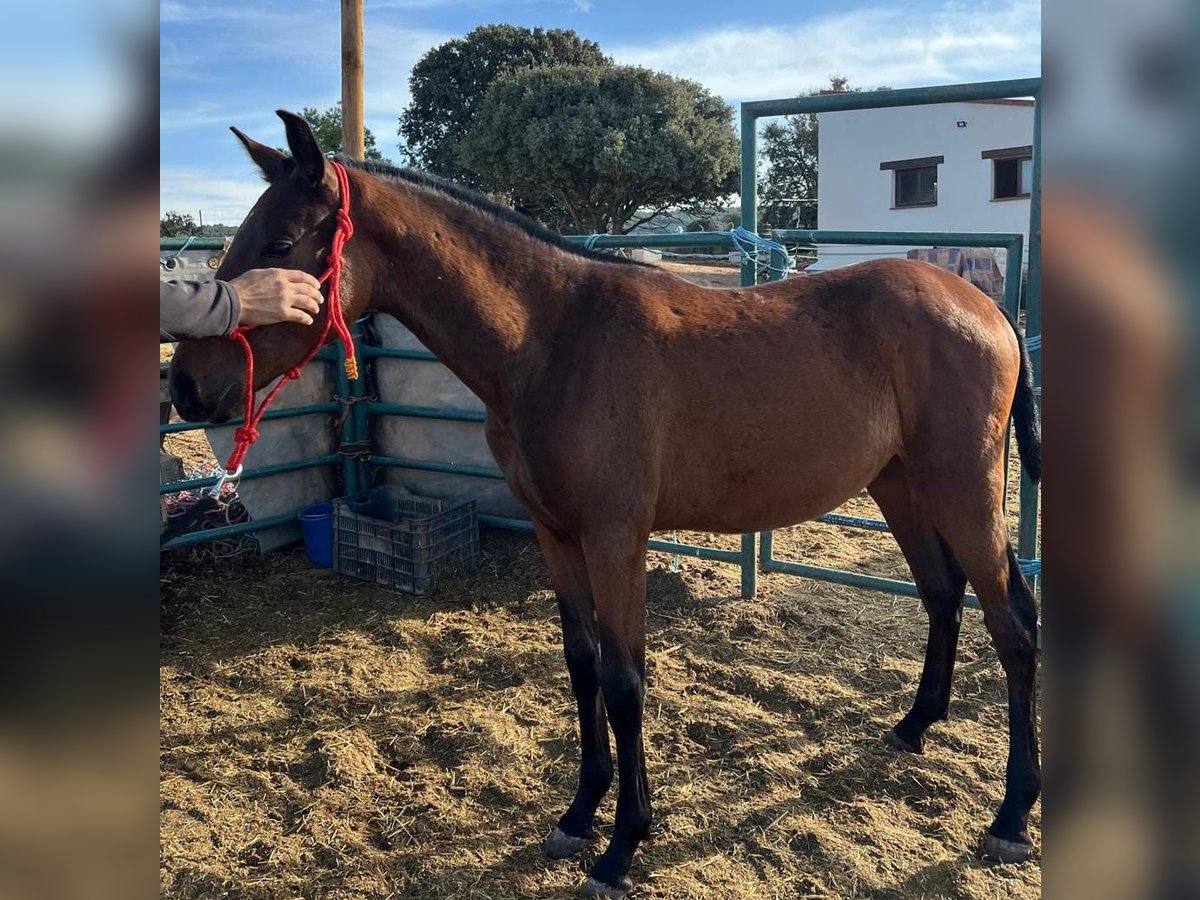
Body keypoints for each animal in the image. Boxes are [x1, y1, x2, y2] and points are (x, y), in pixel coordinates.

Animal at [169, 111, 1041, 898]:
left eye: (280, 245)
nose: (185, 386)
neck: (552, 341)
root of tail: (987, 307)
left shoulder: (616, 538)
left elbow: (626, 682)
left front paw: (623, 847)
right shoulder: (557, 535)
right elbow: (583, 664)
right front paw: (579, 813)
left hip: (960, 489)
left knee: (1012, 625)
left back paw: (1010, 817)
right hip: (898, 483)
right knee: (943, 596)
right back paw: (914, 727)